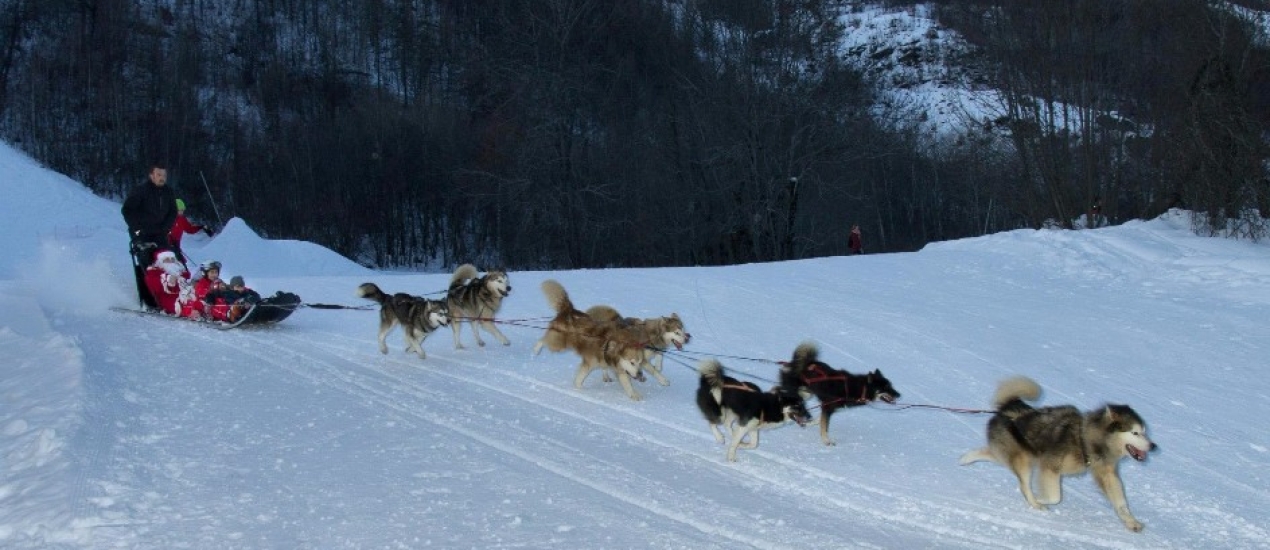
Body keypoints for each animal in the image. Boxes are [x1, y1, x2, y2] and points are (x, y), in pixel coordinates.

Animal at [960, 375, 1163, 528]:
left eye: (1145, 432)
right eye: (1135, 433)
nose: (1153, 446)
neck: (1085, 439)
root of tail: (1008, 407)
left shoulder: (1106, 473)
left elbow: (1120, 501)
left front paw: (1131, 522)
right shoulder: (1050, 468)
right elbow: (1055, 496)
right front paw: (1041, 499)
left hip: (1015, 455)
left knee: (989, 453)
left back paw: (965, 459)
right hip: (1023, 460)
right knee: (1024, 485)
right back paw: (1035, 503)